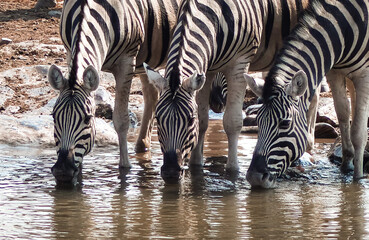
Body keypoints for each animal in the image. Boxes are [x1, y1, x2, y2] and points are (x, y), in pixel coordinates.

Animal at [46, 0, 179, 181]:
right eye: (54, 117)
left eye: (88, 118)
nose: (62, 170)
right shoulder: (69, 51)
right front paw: (79, 174)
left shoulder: (127, 61)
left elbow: (121, 120)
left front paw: (125, 168)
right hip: (145, 59)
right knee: (152, 94)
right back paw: (142, 146)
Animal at [142, 0, 314, 181]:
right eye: (158, 119)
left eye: (189, 120)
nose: (170, 172)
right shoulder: (207, 68)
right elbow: (203, 121)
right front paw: (196, 167)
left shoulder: (240, 64)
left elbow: (232, 122)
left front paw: (233, 170)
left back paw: (308, 145)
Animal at [244, 0, 368, 188]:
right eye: (258, 121)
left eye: (285, 123)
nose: (255, 177)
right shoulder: (335, 71)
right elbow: (343, 114)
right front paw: (346, 165)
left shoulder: (364, 74)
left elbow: (358, 132)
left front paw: (358, 178)